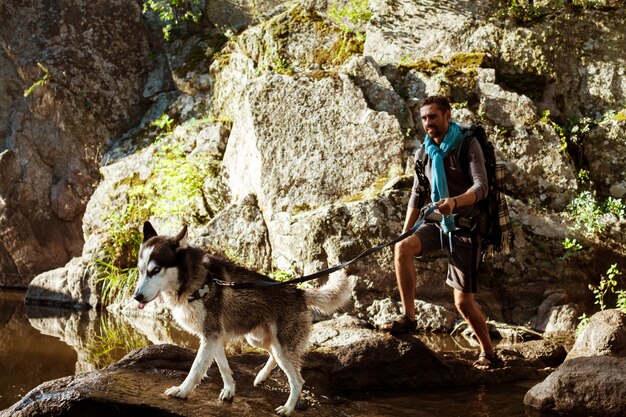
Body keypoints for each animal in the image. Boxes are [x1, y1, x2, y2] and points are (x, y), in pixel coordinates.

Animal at [133, 221, 352, 412]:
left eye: (156, 270)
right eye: (141, 270)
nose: (137, 297)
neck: (197, 282)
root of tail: (299, 292)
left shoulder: (210, 336)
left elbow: (196, 369)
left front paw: (182, 390)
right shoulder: (214, 337)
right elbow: (223, 366)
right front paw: (230, 390)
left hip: (281, 346)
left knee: (297, 380)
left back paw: (288, 408)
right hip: (257, 339)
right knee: (274, 356)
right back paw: (262, 376)